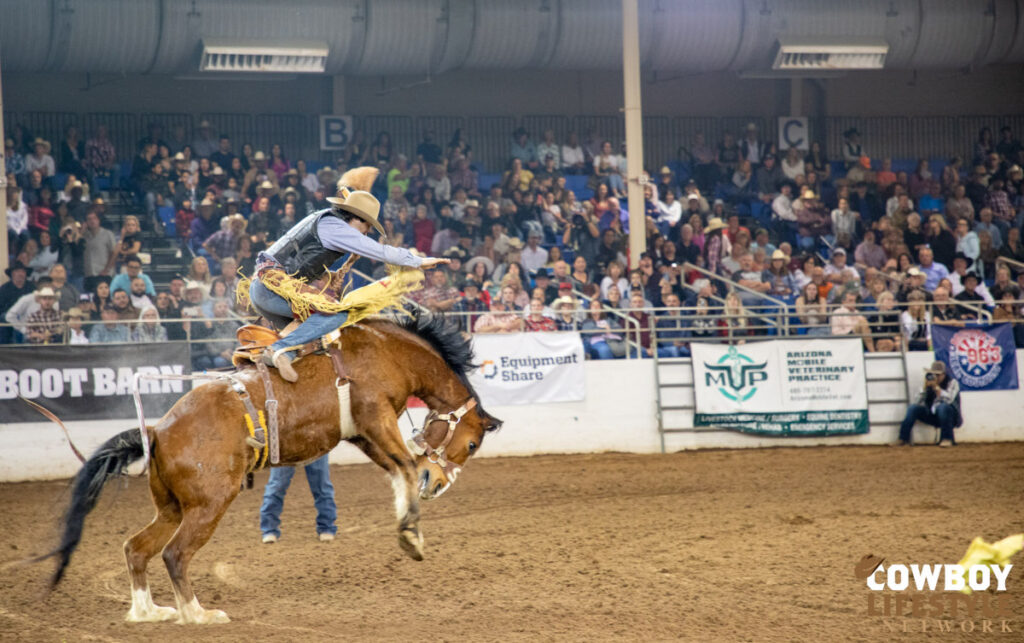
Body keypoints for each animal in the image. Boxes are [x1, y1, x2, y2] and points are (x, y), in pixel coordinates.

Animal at [38, 311, 499, 622]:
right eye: (472, 443)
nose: (438, 484)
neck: (388, 352)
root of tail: (157, 430)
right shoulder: (375, 417)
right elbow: (404, 464)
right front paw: (412, 535)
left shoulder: (361, 434)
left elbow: (397, 469)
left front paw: (409, 528)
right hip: (208, 505)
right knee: (174, 554)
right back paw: (197, 614)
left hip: (171, 507)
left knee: (137, 548)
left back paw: (149, 611)